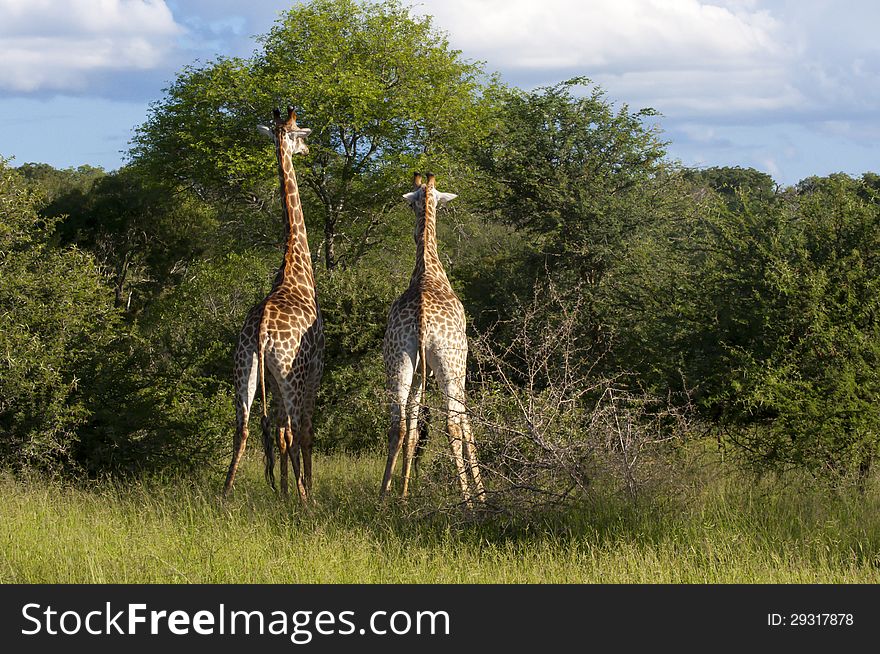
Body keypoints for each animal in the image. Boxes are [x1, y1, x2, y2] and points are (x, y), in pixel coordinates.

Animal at [222, 105, 324, 500]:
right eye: (300, 134)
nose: (308, 150)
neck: (295, 268)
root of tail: (263, 328)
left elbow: (278, 432)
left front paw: (281, 490)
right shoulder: (315, 368)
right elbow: (305, 432)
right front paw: (302, 489)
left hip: (245, 368)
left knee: (245, 427)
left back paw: (225, 495)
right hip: (289, 373)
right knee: (293, 429)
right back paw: (305, 499)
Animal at [380, 172, 484, 504]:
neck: (428, 270)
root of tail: (423, 317)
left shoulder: (417, 373)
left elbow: (413, 428)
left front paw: (403, 491)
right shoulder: (460, 368)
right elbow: (466, 423)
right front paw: (481, 493)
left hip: (398, 361)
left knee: (398, 424)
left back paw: (385, 496)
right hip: (449, 362)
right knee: (452, 424)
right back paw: (468, 501)